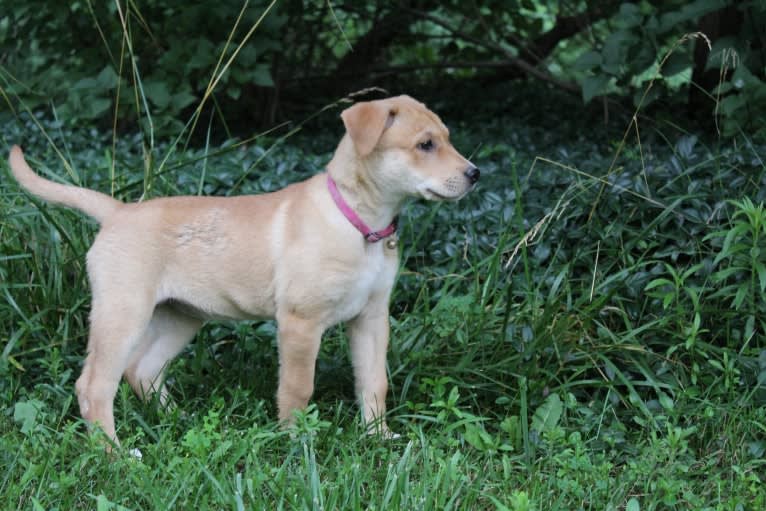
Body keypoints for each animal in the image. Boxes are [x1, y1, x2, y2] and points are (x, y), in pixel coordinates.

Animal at [9, 96, 480, 448]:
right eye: (425, 145)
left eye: (446, 139)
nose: (475, 174)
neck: (359, 220)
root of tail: (117, 211)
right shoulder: (300, 323)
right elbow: (298, 388)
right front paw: (296, 442)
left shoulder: (372, 318)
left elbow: (374, 382)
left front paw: (378, 437)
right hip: (122, 314)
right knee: (95, 386)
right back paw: (116, 453)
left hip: (180, 316)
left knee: (142, 370)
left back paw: (181, 420)